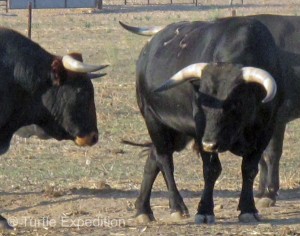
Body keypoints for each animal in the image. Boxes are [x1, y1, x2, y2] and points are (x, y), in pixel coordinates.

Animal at [119, 16, 286, 223]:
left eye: (236, 103)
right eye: (201, 101)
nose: (209, 143)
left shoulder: (266, 130)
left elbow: (249, 169)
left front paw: (248, 209)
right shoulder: (199, 130)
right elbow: (211, 169)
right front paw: (205, 210)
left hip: (177, 132)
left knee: (152, 159)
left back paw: (143, 210)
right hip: (154, 120)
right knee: (165, 160)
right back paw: (177, 206)